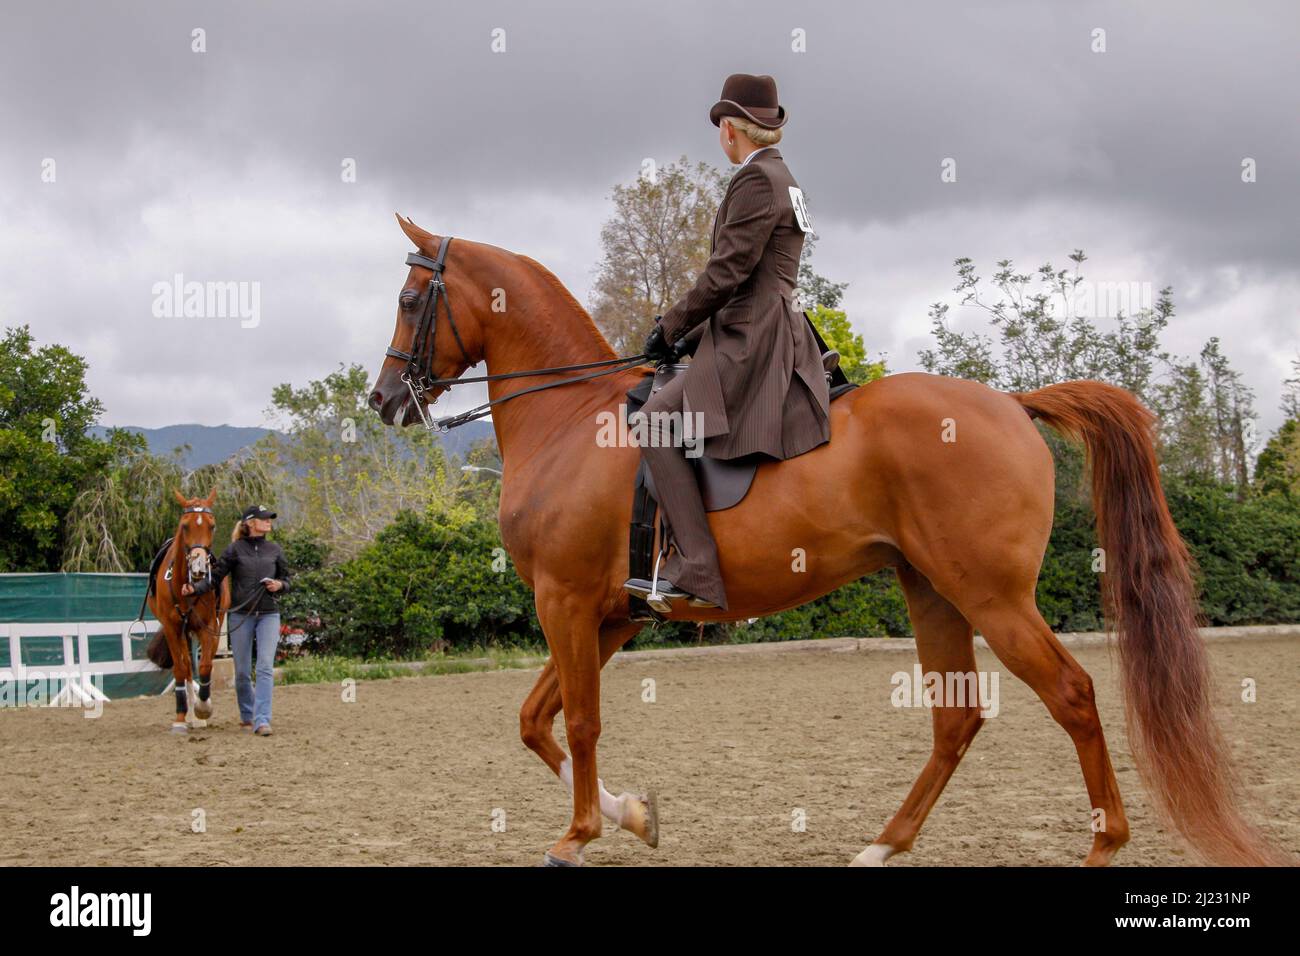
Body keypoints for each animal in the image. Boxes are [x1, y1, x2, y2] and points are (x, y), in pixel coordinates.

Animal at [144, 490, 228, 733]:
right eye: (185, 526)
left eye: (212, 526)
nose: (199, 567)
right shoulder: (172, 628)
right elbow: (181, 670)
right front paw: (181, 717)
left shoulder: (208, 626)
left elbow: (207, 665)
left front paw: (204, 708)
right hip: (183, 632)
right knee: (187, 668)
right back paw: (190, 716)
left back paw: (199, 714)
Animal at [368, 215, 1282, 867]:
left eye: (412, 301)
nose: (384, 401)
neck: (571, 420)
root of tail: (1010, 403)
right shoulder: (609, 615)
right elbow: (535, 718)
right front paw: (634, 816)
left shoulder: (565, 601)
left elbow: (582, 721)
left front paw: (579, 834)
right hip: (933, 589)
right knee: (957, 718)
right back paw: (883, 845)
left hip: (991, 595)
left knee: (1073, 696)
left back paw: (1100, 845)